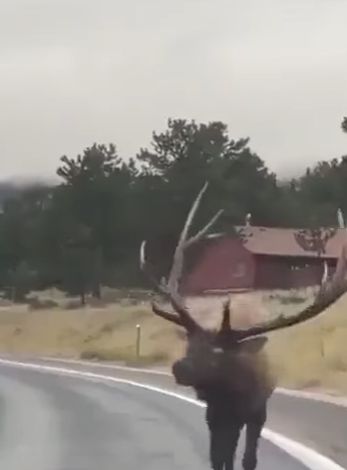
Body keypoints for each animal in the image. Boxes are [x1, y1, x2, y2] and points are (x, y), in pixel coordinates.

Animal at [140, 184, 347, 470]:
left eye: (217, 352)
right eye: (189, 344)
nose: (180, 367)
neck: (232, 392)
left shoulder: (256, 410)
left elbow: (248, 458)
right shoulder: (215, 414)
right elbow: (218, 457)